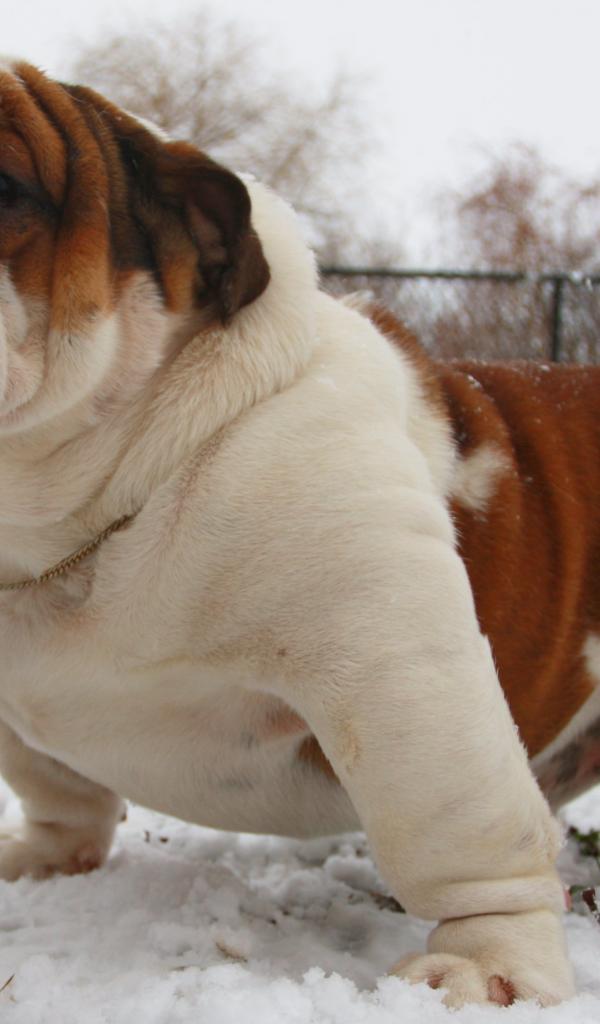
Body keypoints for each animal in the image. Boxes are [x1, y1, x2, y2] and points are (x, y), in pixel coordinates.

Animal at [0, 62, 582, 1008]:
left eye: (6, 186)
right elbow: (55, 788)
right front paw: (46, 862)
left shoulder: (391, 658)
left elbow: (457, 826)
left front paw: (488, 962)